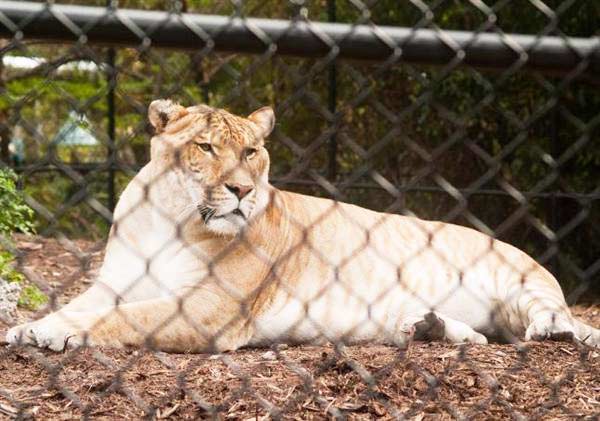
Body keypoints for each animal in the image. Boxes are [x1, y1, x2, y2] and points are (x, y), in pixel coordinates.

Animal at [5, 99, 600, 352]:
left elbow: (121, 318)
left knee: (555, 317)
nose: (242, 191)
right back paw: (428, 327)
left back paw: (554, 330)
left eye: (251, 151)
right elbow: (83, 304)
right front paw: (27, 326)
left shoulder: (208, 309)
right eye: (207, 147)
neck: (167, 218)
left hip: (522, 279)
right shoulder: (113, 282)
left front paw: (50, 333)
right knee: (478, 335)